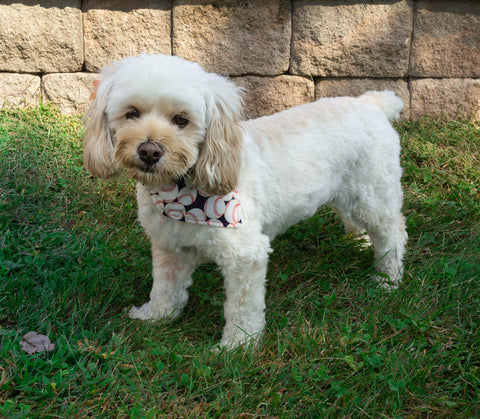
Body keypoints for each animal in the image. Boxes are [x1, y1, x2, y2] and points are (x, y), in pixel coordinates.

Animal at [84, 54, 406, 350]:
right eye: (132, 113)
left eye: (181, 120)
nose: (149, 151)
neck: (180, 195)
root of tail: (372, 103)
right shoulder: (169, 248)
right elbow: (165, 288)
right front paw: (156, 316)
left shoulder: (245, 255)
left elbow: (242, 308)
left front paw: (238, 346)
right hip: (347, 191)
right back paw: (360, 243)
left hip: (374, 194)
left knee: (393, 233)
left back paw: (387, 279)